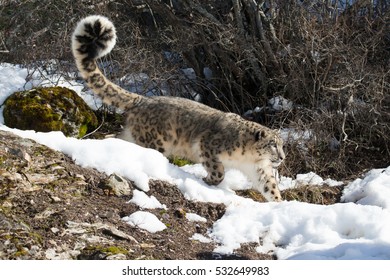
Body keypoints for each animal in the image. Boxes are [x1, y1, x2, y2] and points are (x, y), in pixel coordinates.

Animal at [71, 15, 284, 201]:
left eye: (282, 145)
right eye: (273, 145)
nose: (282, 157)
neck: (248, 158)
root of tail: (143, 99)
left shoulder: (260, 169)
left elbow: (271, 187)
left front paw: (279, 204)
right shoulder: (207, 145)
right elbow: (218, 171)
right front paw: (208, 180)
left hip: (134, 135)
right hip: (157, 141)